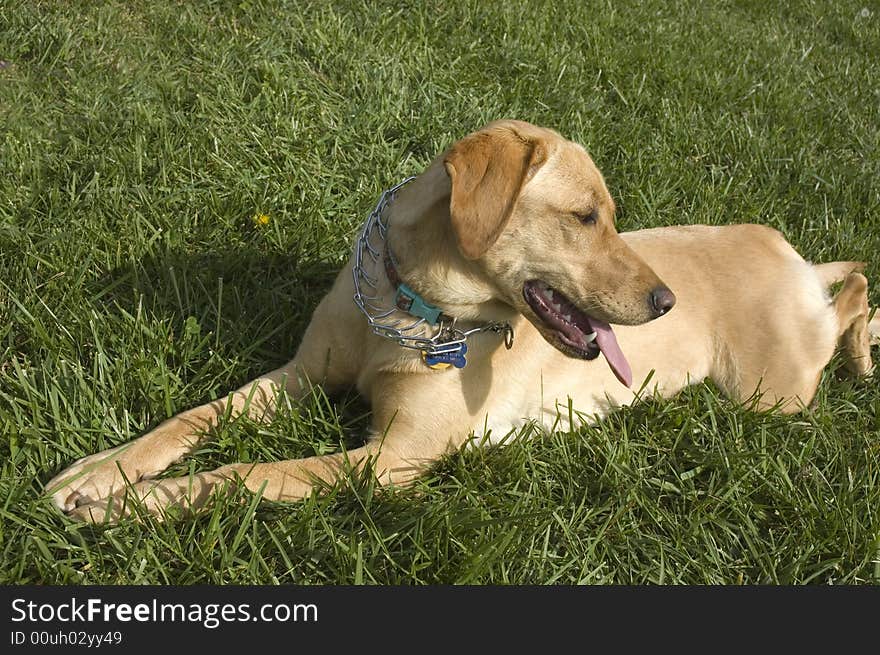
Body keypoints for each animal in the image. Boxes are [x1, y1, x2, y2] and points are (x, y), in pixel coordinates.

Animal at [46, 121, 872, 524]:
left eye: (609, 218)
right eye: (586, 217)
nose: (666, 303)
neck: (407, 311)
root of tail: (796, 259)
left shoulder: (386, 463)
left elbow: (248, 472)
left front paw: (130, 503)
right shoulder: (299, 375)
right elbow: (196, 416)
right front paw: (101, 471)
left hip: (773, 392)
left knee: (856, 290)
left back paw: (863, 352)